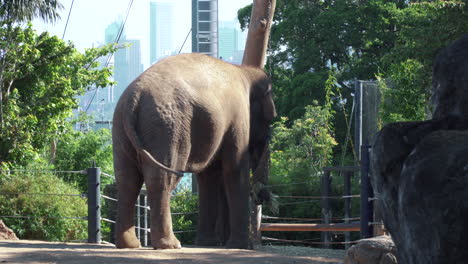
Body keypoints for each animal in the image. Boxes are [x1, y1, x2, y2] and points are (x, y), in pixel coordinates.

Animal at [111, 53, 276, 250]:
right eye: (270, 121)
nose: (262, 197)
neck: (244, 71)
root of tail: (133, 98)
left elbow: (208, 176)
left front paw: (209, 243)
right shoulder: (238, 118)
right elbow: (234, 169)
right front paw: (241, 246)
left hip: (121, 130)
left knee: (127, 180)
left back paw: (129, 245)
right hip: (167, 129)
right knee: (162, 178)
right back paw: (171, 245)